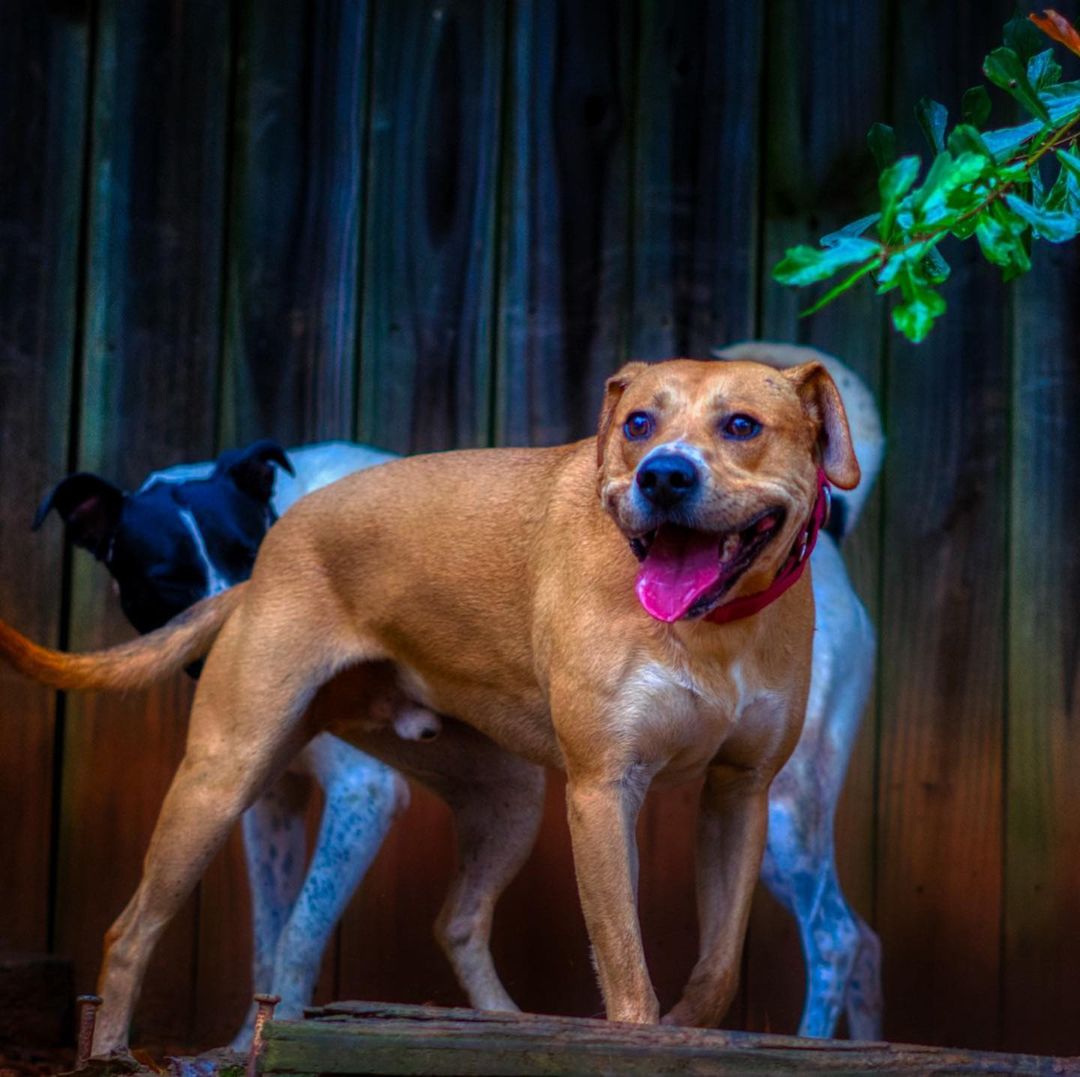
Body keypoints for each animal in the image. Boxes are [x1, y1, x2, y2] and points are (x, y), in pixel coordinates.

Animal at [2, 356, 859, 1045]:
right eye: (638, 424)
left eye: (742, 425)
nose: (663, 474)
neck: (714, 628)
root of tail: (269, 556)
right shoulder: (603, 790)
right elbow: (624, 964)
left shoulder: (740, 795)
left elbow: (718, 966)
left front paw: (687, 1022)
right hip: (222, 777)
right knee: (130, 928)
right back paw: (112, 1048)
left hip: (512, 795)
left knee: (459, 918)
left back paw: (504, 1024)